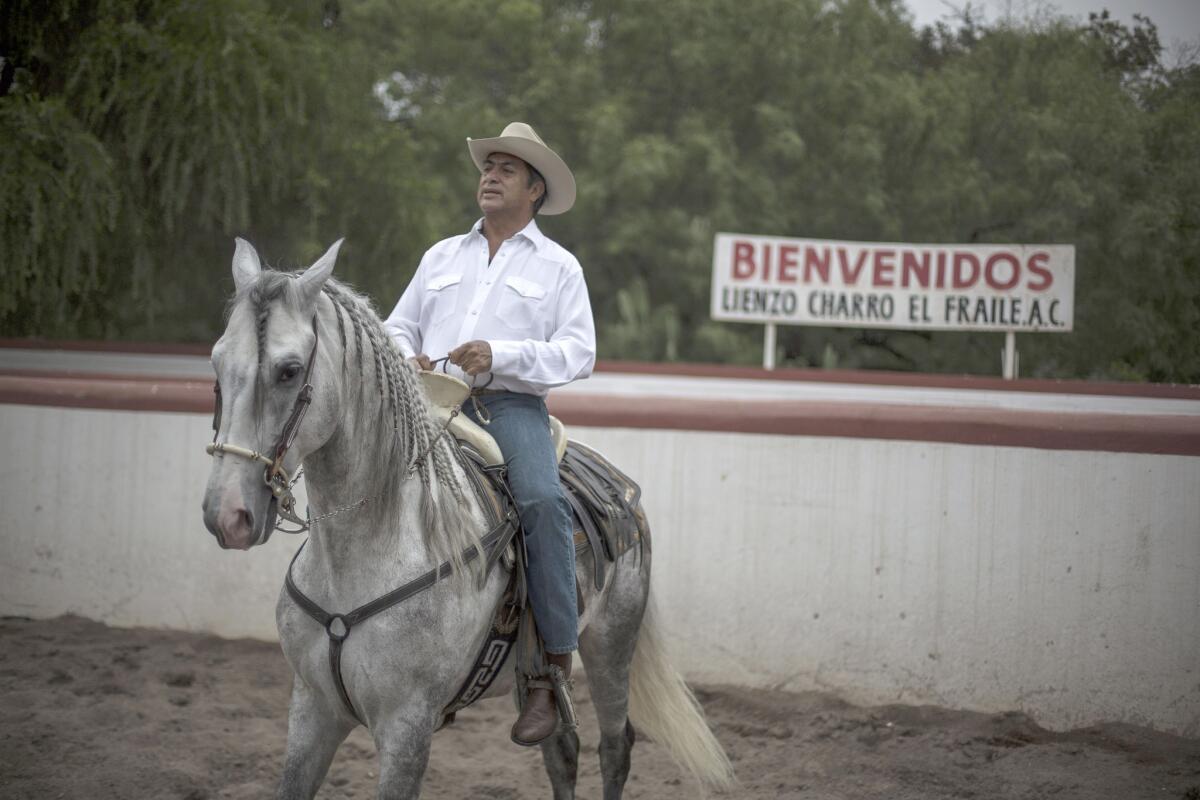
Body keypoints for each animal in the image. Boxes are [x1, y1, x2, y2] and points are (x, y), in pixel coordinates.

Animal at [201, 241, 734, 796]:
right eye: (217, 361)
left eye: (288, 370)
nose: (227, 514)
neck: (370, 548)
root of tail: (617, 482)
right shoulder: (312, 708)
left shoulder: (407, 725)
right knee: (561, 750)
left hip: (611, 646)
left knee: (616, 746)